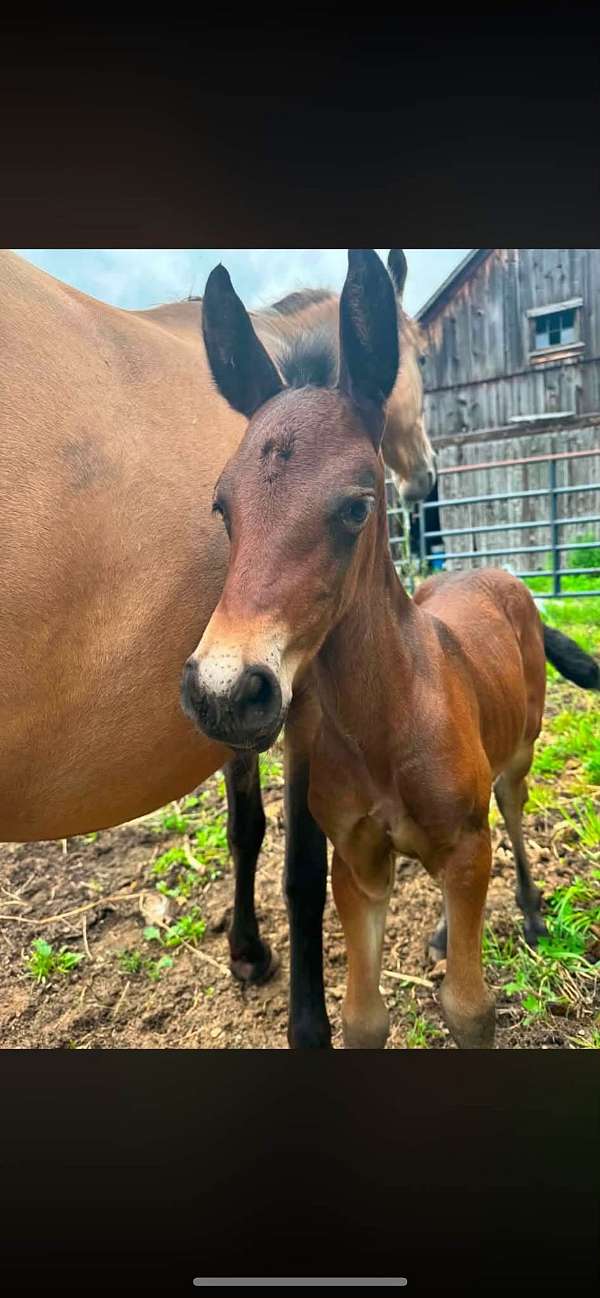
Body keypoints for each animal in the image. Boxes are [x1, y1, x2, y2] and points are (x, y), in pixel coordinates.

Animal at [0, 247, 434, 1018]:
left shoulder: (244, 695)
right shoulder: (292, 698)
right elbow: (301, 870)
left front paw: (247, 952)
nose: (427, 480)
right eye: (220, 508)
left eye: (356, 507)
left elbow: (246, 830)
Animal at [182, 247, 600, 1049]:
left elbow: (469, 1009)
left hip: (518, 756)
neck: (391, 716)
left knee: (515, 813)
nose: (224, 690)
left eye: (355, 507)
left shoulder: (466, 849)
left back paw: (533, 913)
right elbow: (363, 1018)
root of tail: (495, 573)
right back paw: (440, 932)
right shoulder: (358, 863)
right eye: (221, 506)